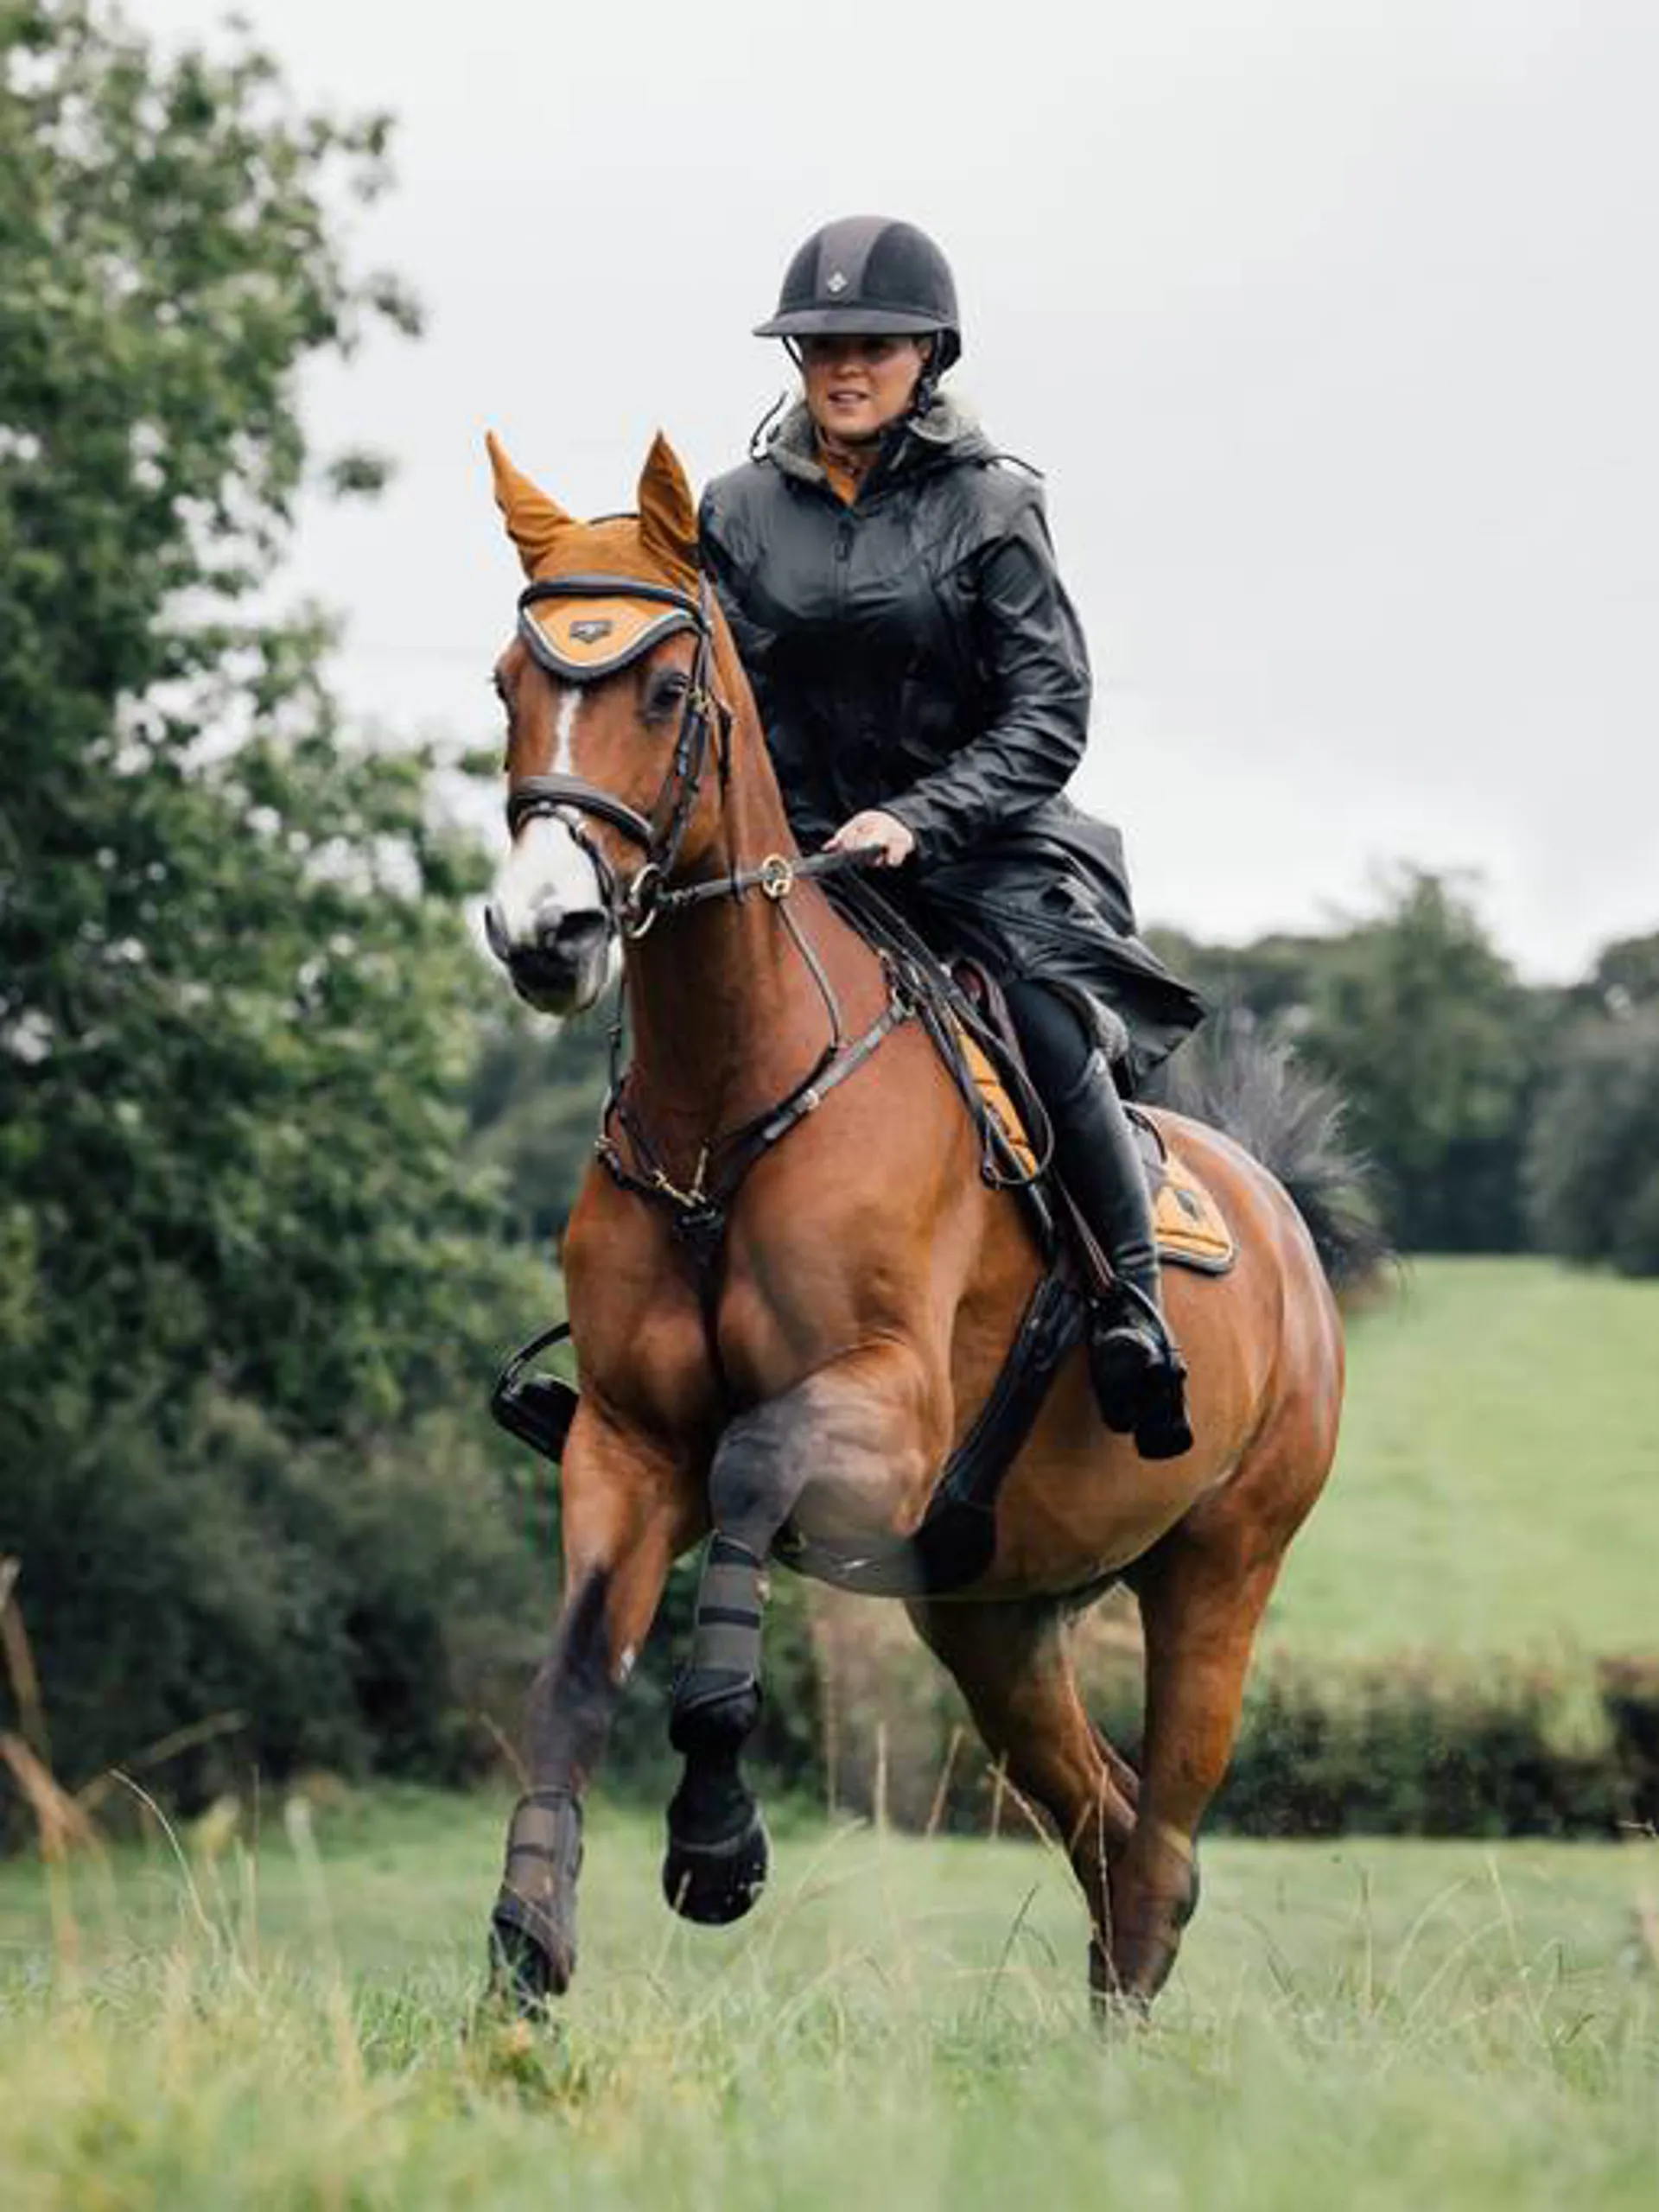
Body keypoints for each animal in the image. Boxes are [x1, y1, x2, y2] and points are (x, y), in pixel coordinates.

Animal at [479, 428, 1366, 2015]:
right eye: (507, 684)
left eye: (664, 690)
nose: (544, 933)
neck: (730, 1103)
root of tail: (1277, 1216)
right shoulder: (628, 1442)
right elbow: (575, 1669)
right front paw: (528, 1939)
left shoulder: (881, 1419)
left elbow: (755, 1475)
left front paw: (716, 1843)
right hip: (990, 1613)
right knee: (1112, 1827)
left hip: (1220, 1574)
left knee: (1163, 1832)